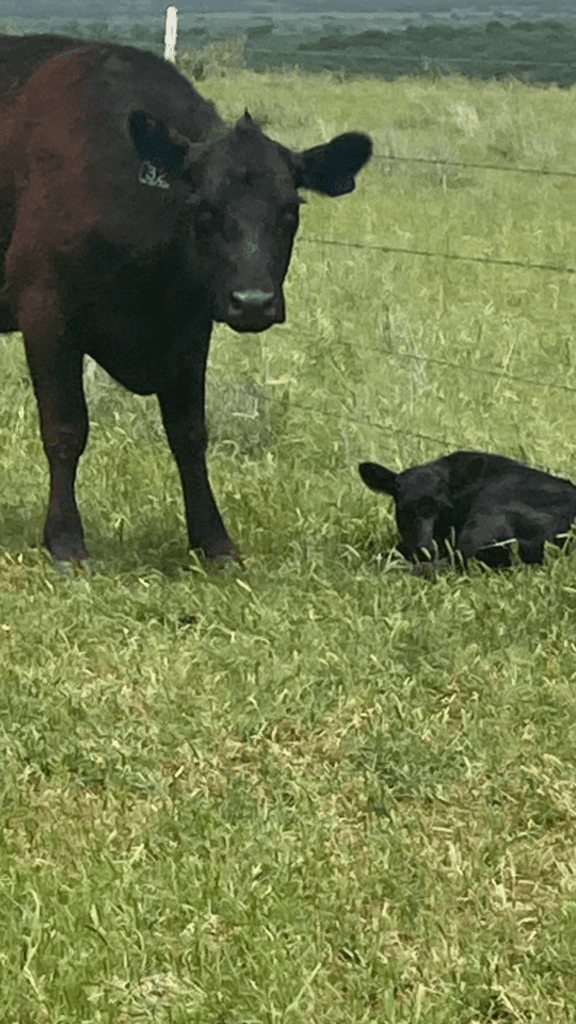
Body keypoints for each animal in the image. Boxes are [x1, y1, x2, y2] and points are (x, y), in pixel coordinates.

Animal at [0, 35, 372, 563]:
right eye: (203, 207)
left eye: (290, 209)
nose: (252, 302)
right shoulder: (45, 312)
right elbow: (65, 428)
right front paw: (66, 540)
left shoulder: (190, 326)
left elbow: (190, 434)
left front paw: (214, 540)